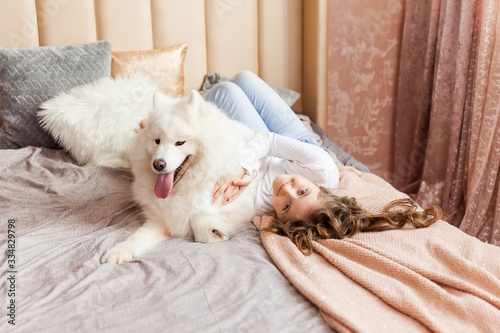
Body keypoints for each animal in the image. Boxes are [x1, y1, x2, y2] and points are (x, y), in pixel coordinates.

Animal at [101, 89, 258, 264]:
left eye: (180, 142)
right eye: (157, 141)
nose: (158, 164)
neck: (182, 189)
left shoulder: (244, 208)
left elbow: (198, 218)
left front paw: (212, 232)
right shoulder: (160, 220)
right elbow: (137, 237)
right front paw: (118, 252)